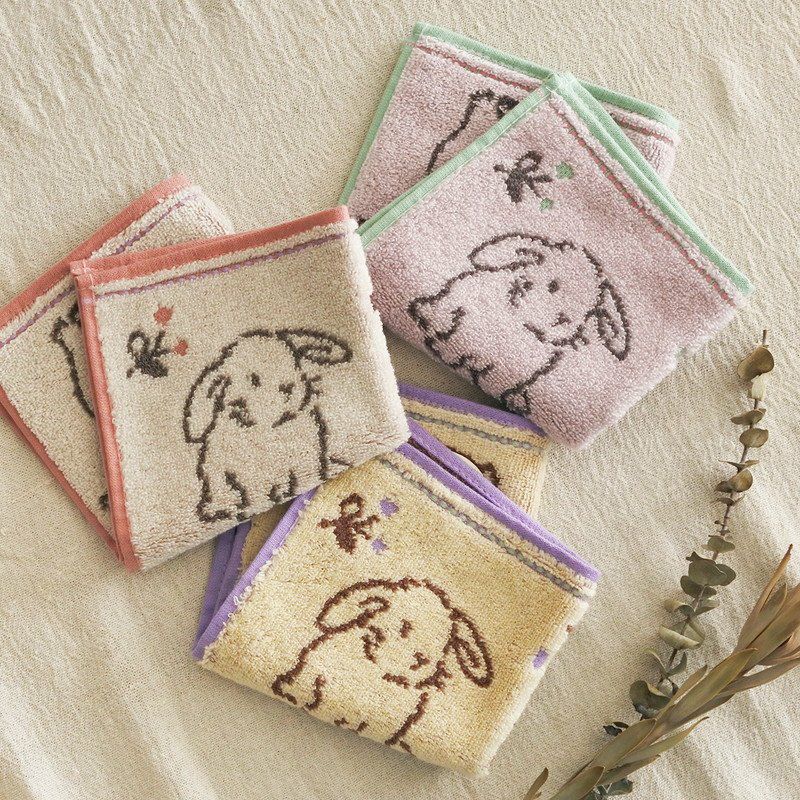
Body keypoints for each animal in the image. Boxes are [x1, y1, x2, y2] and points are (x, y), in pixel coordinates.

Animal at [182, 328, 352, 523]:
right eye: (254, 379)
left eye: (295, 361)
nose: (289, 386)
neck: (266, 429)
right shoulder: (221, 467)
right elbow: (222, 484)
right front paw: (218, 509)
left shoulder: (306, 455)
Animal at [271, 576, 493, 754]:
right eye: (404, 626)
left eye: (447, 644)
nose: (422, 659)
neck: (379, 672)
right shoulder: (315, 668)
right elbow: (310, 684)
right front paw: (296, 694)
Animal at [407, 233, 631, 417]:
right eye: (553, 285)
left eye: (591, 312)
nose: (563, 320)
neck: (517, 320)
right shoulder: (464, 294)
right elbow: (450, 312)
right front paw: (436, 327)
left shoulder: (526, 368)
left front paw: (513, 398)